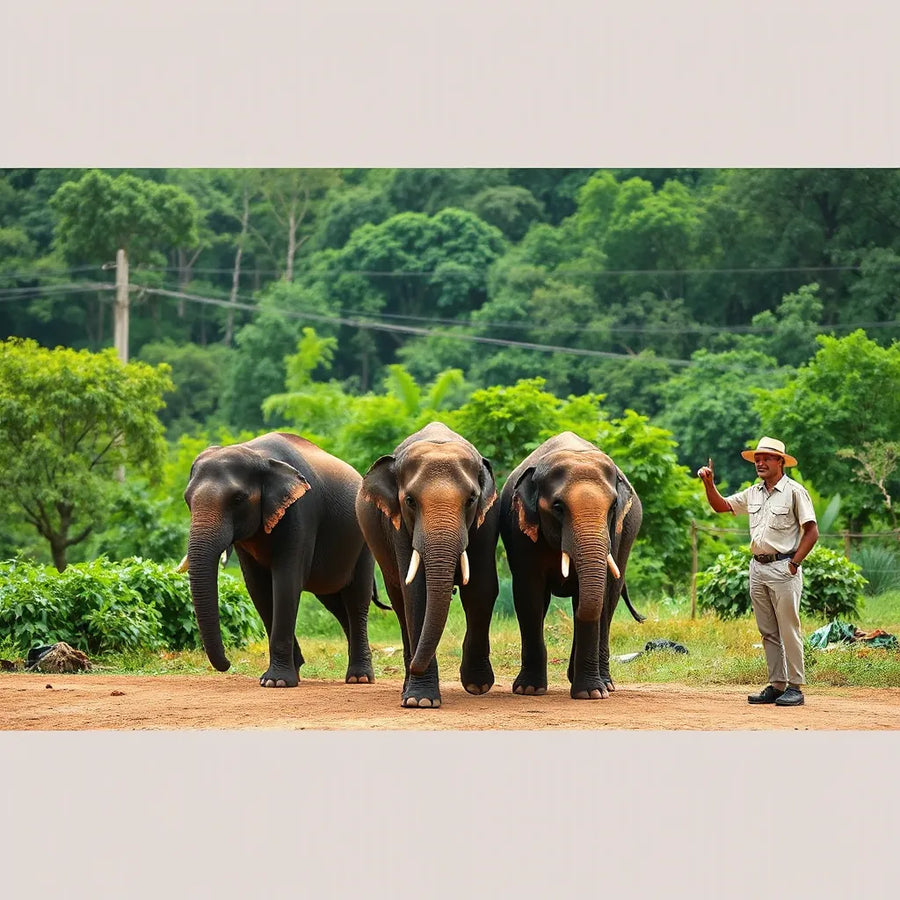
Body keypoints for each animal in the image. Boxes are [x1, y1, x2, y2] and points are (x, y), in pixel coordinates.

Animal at [183, 432, 383, 688]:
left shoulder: (300, 511)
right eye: (187, 500)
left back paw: (360, 678)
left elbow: (286, 581)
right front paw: (289, 674)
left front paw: (276, 681)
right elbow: (258, 588)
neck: (258, 455)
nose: (227, 664)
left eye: (238, 499)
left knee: (356, 600)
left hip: (364, 540)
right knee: (336, 605)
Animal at [355, 422, 500, 708]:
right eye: (410, 501)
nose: (415, 666)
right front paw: (419, 701)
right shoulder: (397, 525)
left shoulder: (487, 517)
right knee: (399, 602)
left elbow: (480, 587)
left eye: (471, 499)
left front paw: (477, 685)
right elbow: (416, 593)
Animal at [499, 432, 643, 700]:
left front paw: (592, 693)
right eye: (558, 507)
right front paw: (529, 690)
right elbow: (529, 596)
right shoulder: (520, 534)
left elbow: (598, 596)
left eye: (613, 508)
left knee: (610, 599)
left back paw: (606, 684)